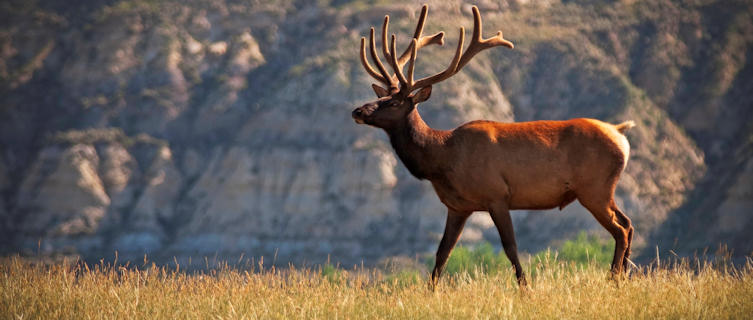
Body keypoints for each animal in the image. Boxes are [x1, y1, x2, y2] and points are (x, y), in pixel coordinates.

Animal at [352, 3, 636, 286]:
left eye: (394, 102)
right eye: (382, 97)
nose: (357, 110)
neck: (442, 159)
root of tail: (620, 133)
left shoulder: (497, 194)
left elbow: (510, 247)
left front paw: (525, 288)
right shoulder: (458, 206)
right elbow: (443, 252)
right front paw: (430, 290)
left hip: (594, 188)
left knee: (621, 229)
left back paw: (614, 278)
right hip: (602, 190)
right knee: (628, 224)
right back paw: (624, 275)